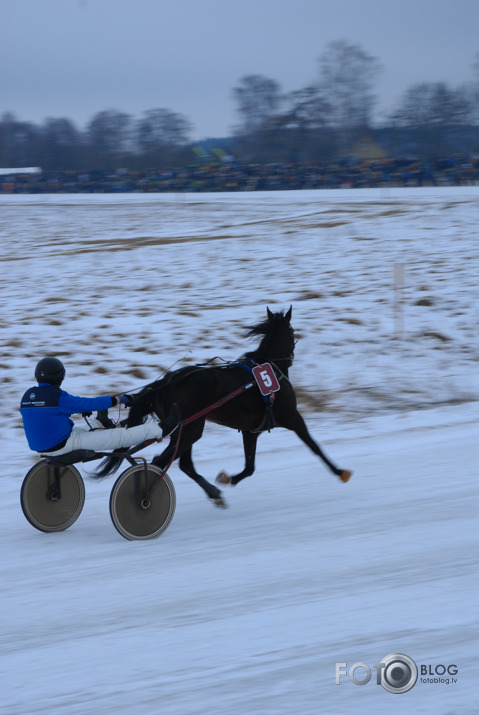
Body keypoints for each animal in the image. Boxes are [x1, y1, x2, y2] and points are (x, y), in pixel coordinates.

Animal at [97, 310, 352, 506]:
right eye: (292, 332)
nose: (291, 355)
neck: (269, 366)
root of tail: (166, 381)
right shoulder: (292, 417)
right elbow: (314, 446)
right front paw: (341, 472)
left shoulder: (251, 431)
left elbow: (250, 466)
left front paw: (227, 479)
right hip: (191, 428)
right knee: (161, 462)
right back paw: (146, 498)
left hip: (185, 429)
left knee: (183, 464)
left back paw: (214, 493)